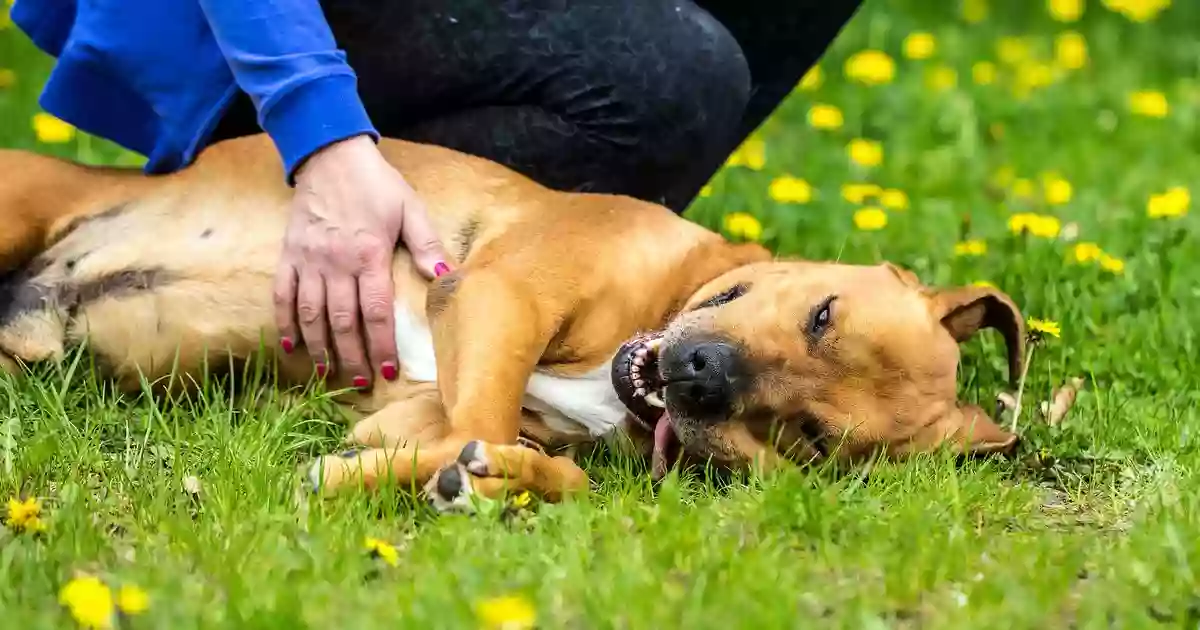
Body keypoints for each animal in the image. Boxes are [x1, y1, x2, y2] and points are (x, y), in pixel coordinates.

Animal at [0, 133, 1022, 511]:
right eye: (821, 313)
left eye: (806, 436)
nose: (701, 376)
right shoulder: (501, 298)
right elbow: (488, 420)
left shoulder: (410, 411)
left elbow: (509, 449)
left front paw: (484, 480)